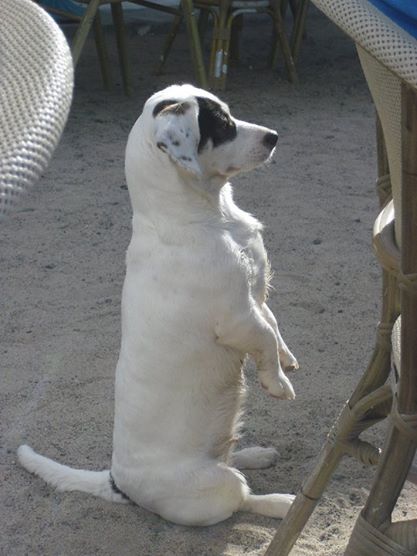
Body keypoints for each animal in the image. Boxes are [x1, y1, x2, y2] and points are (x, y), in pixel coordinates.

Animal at [18, 82, 300, 524]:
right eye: (221, 123)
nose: (274, 137)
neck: (213, 216)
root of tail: (117, 481)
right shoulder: (237, 317)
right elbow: (265, 340)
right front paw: (278, 383)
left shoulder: (256, 294)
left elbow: (273, 326)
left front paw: (287, 360)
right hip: (216, 486)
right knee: (242, 497)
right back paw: (281, 503)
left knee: (233, 455)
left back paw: (255, 453)